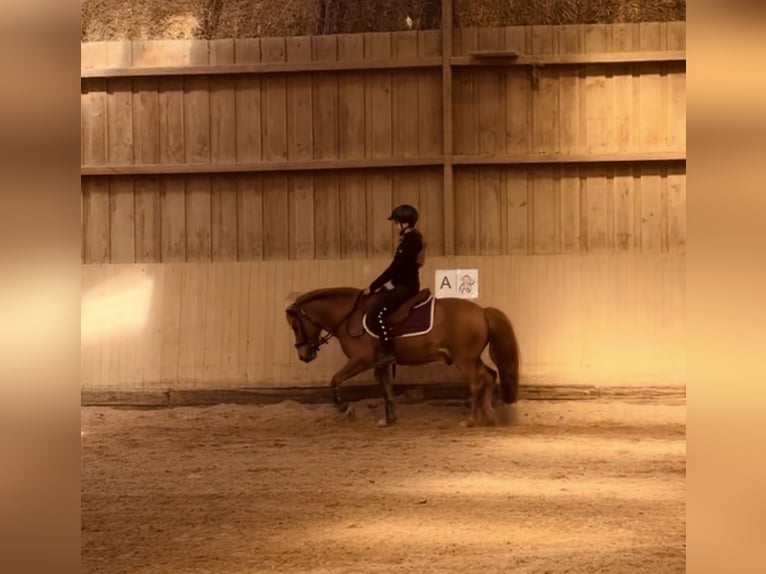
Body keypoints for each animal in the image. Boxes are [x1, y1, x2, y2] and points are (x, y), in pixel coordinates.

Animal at [284, 287, 521, 427]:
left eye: (295, 326)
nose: (303, 355)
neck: (350, 318)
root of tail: (482, 311)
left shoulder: (360, 361)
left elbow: (335, 380)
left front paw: (345, 408)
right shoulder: (382, 364)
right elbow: (386, 388)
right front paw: (389, 419)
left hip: (464, 360)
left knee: (476, 382)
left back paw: (471, 419)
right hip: (471, 358)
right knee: (489, 376)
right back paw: (488, 414)